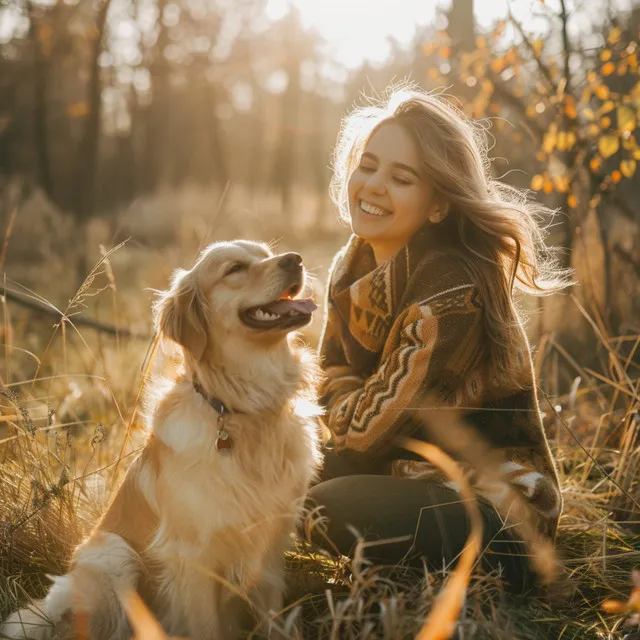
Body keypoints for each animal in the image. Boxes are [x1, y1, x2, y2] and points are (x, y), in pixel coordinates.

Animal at [2, 241, 322, 640]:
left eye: (265, 252)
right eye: (235, 269)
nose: (296, 259)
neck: (247, 409)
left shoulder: (270, 550)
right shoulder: (192, 554)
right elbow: (205, 627)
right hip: (114, 557)